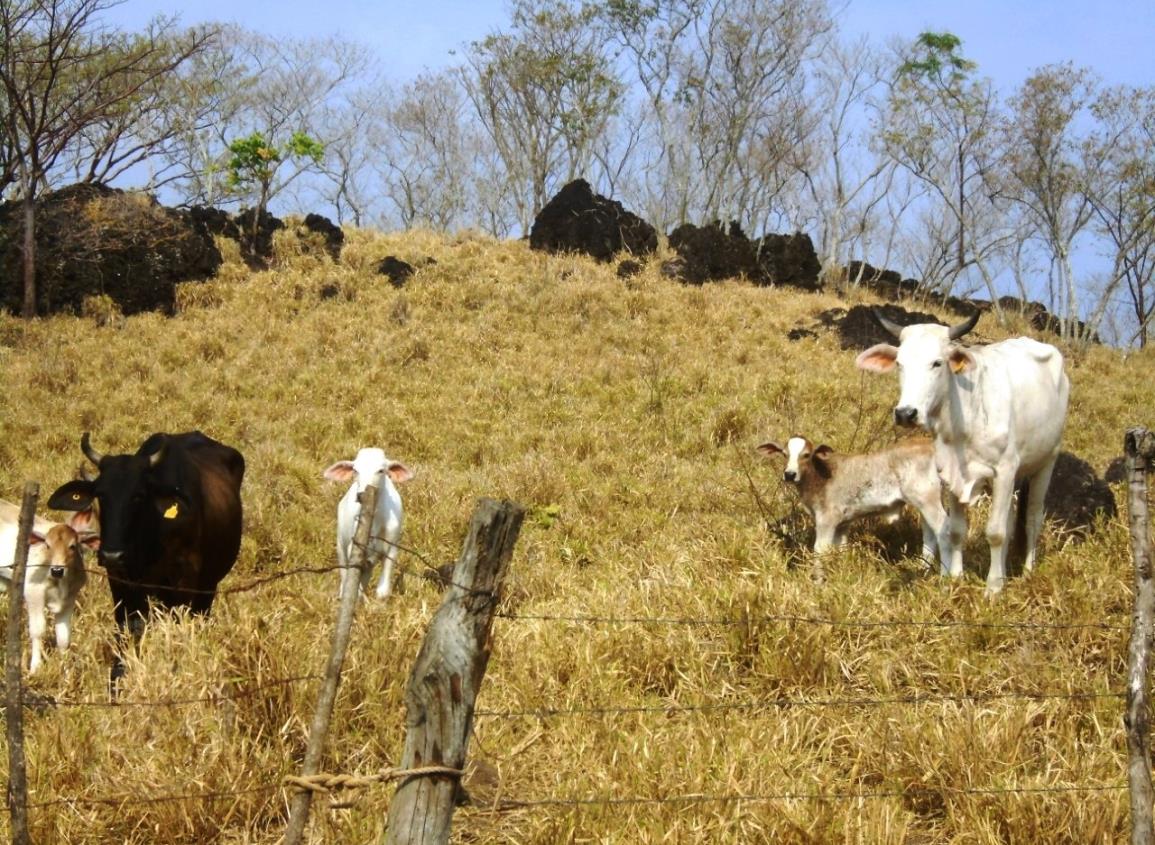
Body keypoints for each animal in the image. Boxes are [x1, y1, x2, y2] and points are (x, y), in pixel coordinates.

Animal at [0, 500, 97, 674]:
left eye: (72, 546)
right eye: (47, 545)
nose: (57, 570)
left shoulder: (70, 599)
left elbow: (63, 637)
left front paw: (65, 671)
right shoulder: (34, 593)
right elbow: (38, 630)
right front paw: (35, 667)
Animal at [48, 431, 244, 678]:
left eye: (138, 495)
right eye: (101, 495)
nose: (112, 554)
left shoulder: (185, 582)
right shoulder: (121, 583)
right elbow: (126, 635)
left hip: (208, 585)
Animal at [323, 447, 413, 600]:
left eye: (381, 470)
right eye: (355, 470)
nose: (360, 495)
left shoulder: (392, 547)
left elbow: (383, 591)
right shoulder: (353, 547)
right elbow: (353, 582)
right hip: (340, 543)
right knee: (344, 574)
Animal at [753, 436, 951, 567]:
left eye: (806, 455)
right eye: (784, 454)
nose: (789, 474)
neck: (820, 476)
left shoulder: (827, 518)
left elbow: (820, 549)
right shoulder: (843, 523)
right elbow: (840, 548)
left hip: (927, 499)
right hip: (926, 503)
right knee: (929, 534)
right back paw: (924, 567)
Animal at [854, 309, 1067, 595]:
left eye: (937, 363)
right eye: (899, 363)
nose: (906, 413)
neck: (966, 414)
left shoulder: (1005, 470)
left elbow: (996, 532)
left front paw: (993, 589)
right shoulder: (952, 473)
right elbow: (955, 530)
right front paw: (955, 579)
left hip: (1046, 462)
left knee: (1033, 518)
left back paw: (1027, 573)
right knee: (1012, 521)